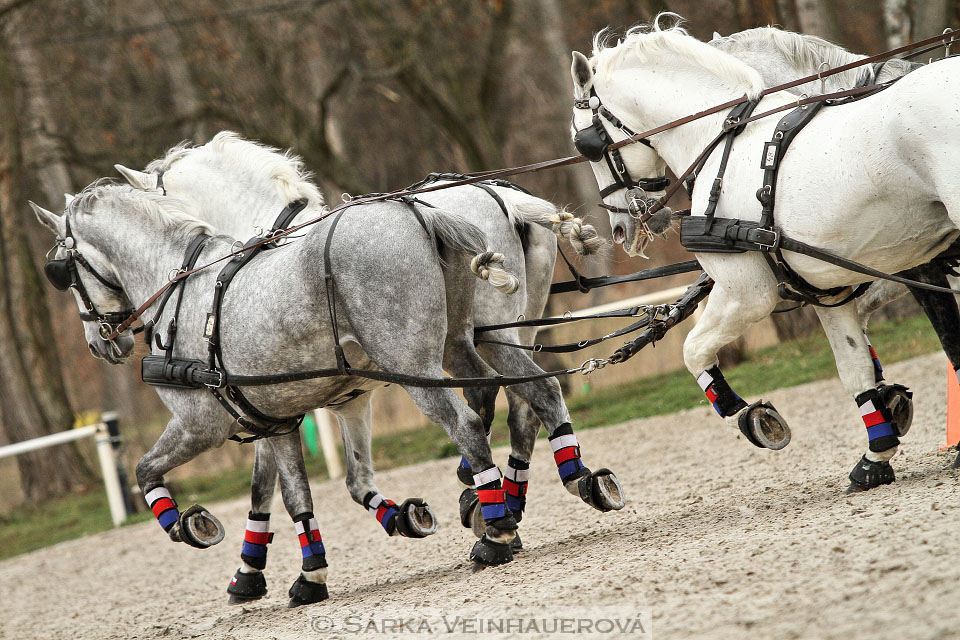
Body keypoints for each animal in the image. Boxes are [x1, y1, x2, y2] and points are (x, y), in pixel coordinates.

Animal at [112, 132, 624, 604]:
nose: (114, 339)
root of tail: (501, 197)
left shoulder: (262, 396)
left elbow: (264, 483)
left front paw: (250, 572)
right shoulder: (318, 397)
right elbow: (316, 480)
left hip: (470, 342)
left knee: (497, 408)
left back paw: (497, 510)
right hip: (507, 331)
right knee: (528, 402)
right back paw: (534, 493)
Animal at [568, 18, 960, 490]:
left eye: (586, 144)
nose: (622, 227)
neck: (723, 137)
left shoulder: (747, 292)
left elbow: (692, 350)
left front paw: (752, 416)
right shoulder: (828, 289)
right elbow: (855, 369)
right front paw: (876, 455)